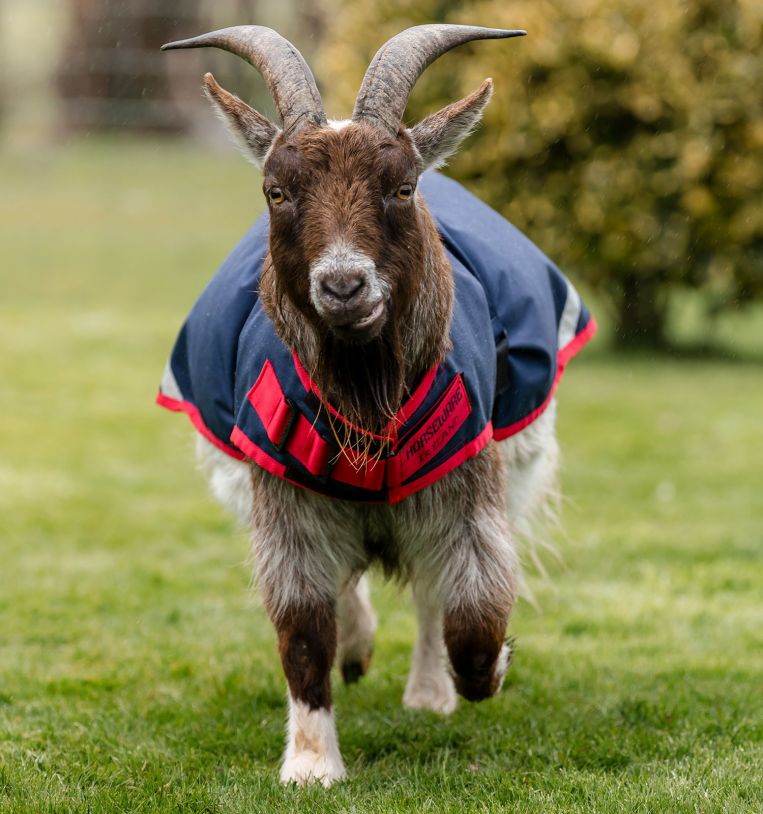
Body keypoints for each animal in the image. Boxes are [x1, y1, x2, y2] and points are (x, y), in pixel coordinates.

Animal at [158, 24, 596, 786]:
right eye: (276, 190)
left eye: (401, 186)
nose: (342, 285)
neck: (365, 397)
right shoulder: (282, 493)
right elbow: (303, 625)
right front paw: (311, 764)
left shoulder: (467, 482)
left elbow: (472, 619)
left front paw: (488, 670)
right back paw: (359, 651)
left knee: (430, 591)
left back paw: (427, 691)